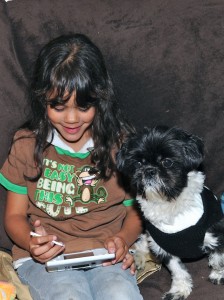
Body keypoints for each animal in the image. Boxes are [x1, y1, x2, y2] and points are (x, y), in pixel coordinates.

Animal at [116, 126, 224, 300]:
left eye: (167, 162)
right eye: (138, 163)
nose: (149, 171)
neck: (170, 203)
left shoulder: (216, 232)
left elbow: (218, 258)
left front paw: (219, 275)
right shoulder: (163, 246)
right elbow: (177, 271)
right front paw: (180, 289)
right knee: (142, 243)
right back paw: (138, 257)